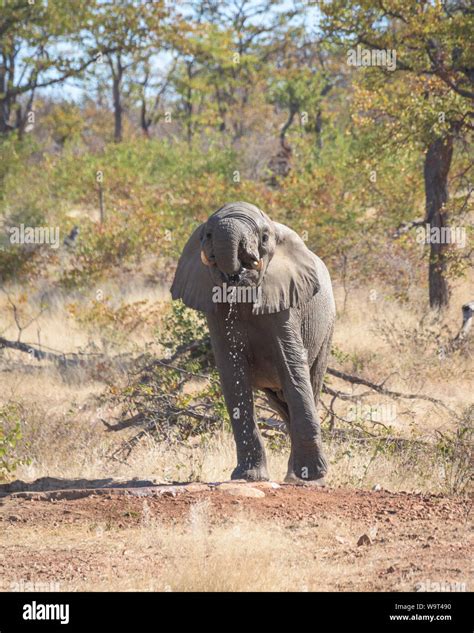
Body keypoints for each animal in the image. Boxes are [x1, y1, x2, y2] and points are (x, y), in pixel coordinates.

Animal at [169, 202, 334, 484]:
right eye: (206, 235)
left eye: (265, 237)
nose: (236, 274)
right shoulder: (216, 311)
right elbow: (233, 375)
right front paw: (248, 477)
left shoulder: (285, 303)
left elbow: (291, 368)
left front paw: (312, 478)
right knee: (281, 404)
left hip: (327, 330)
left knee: (309, 384)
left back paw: (298, 478)